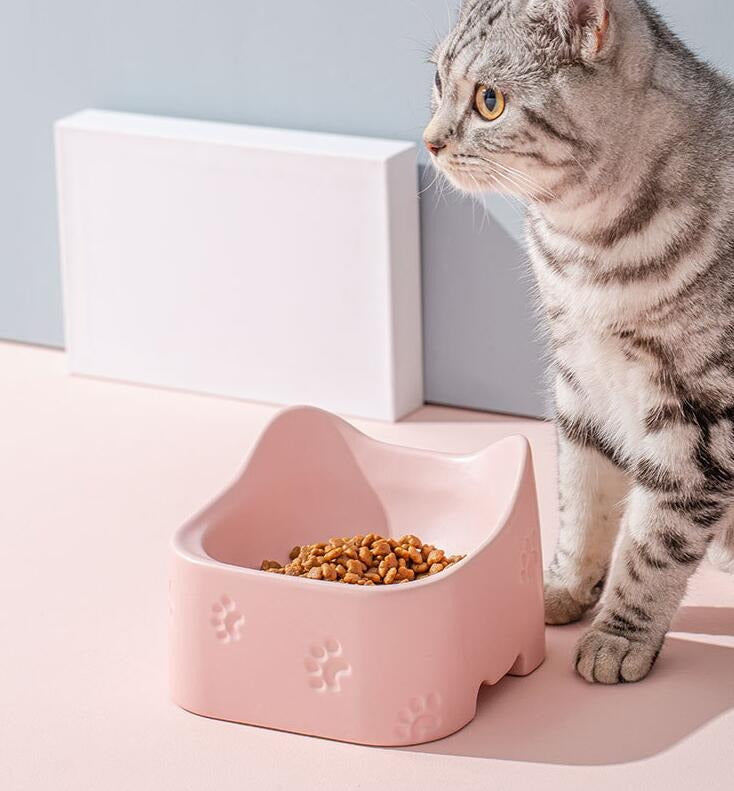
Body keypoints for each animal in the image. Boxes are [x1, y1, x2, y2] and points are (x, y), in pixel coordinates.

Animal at [426, 0, 734, 684]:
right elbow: (581, 500)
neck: (587, 250)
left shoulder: (699, 417)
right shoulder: (580, 382)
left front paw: (619, 634)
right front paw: (564, 586)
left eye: (489, 102)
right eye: (436, 82)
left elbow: (653, 542)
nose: (430, 141)